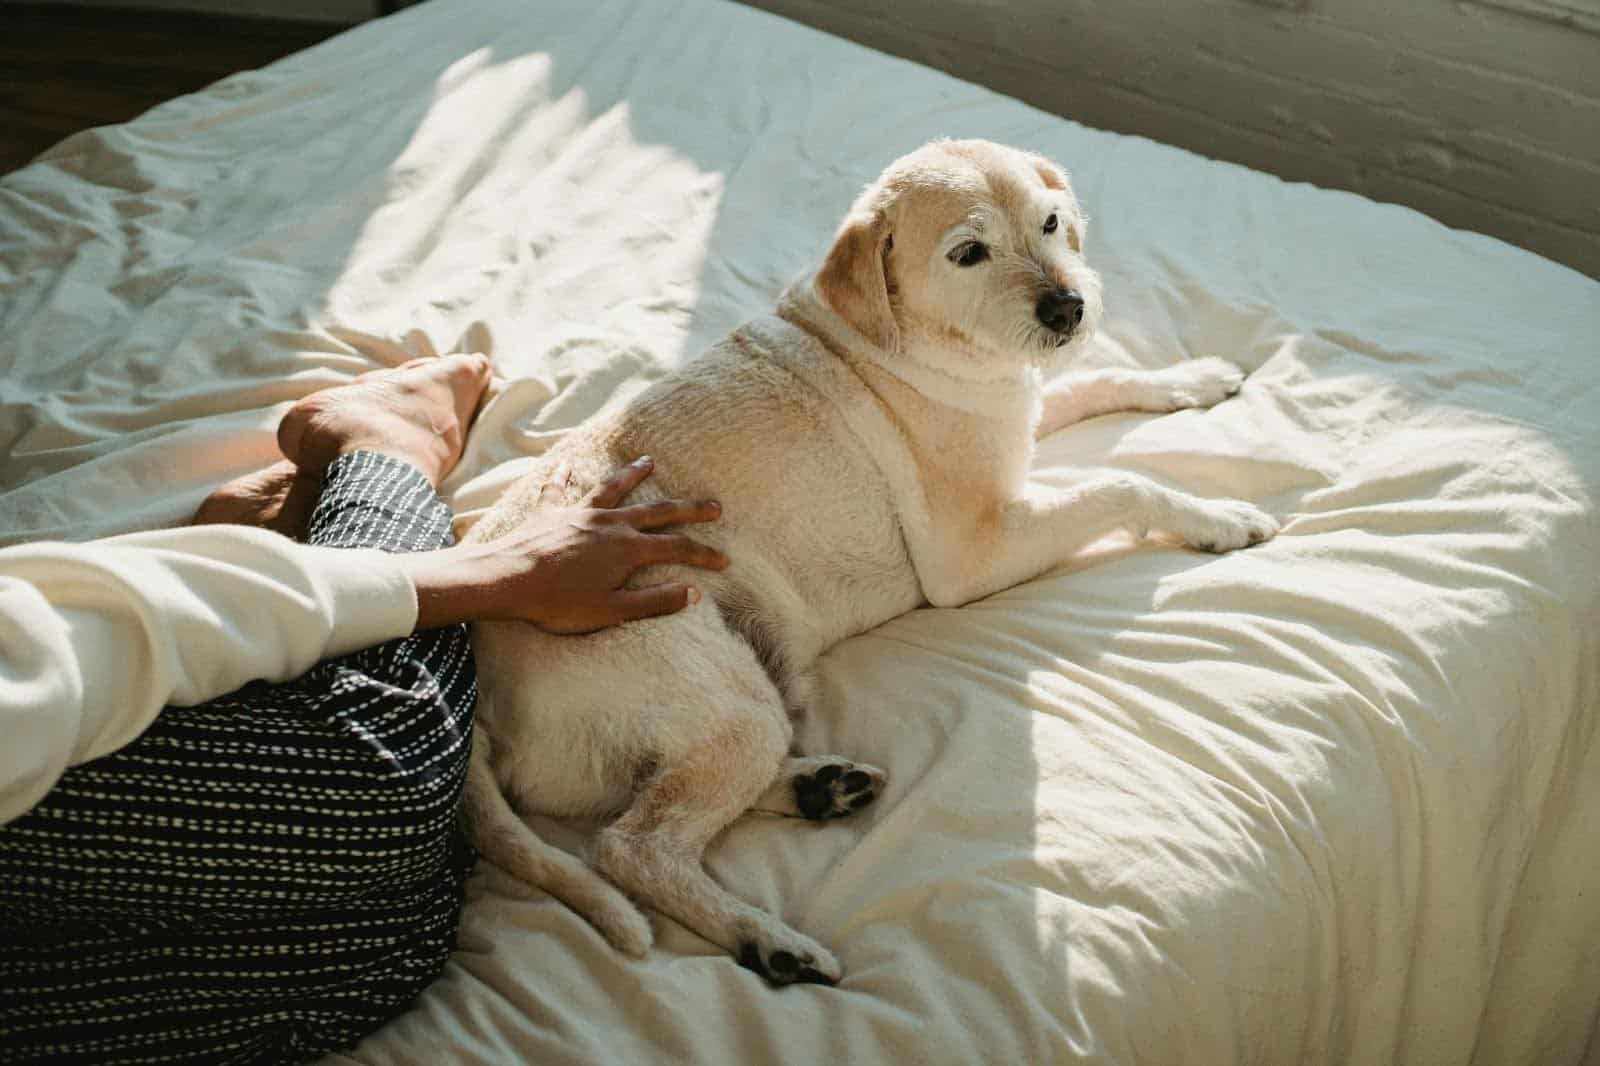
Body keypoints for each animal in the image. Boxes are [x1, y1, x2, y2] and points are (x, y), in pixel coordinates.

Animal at [460, 136, 1273, 985]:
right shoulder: (976, 554)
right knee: (632, 845)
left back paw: (820, 790)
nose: (1067, 307)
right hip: (723, 696)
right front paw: (1218, 518)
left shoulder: (1019, 412)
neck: (908, 340)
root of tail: (477, 680)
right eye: (969, 253)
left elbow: (1104, 377)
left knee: (652, 802)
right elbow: (1125, 484)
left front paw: (1191, 377)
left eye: (1050, 223)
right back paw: (770, 940)